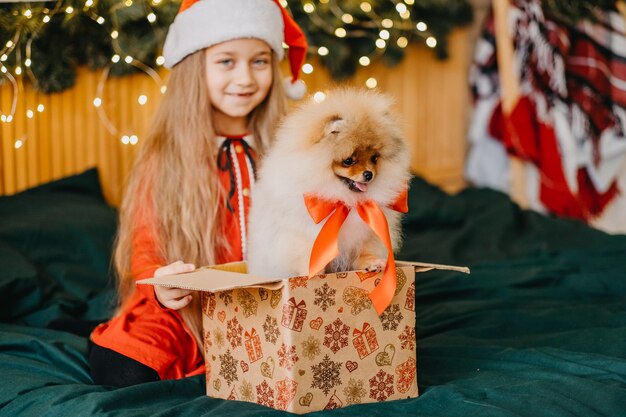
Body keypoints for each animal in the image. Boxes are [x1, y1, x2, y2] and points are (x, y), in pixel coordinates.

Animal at [246, 86, 412, 278]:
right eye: (348, 161)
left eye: (374, 158)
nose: (368, 174)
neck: (346, 201)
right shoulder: (300, 234)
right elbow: (306, 254)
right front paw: (313, 271)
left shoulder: (367, 234)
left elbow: (364, 251)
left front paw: (371, 262)